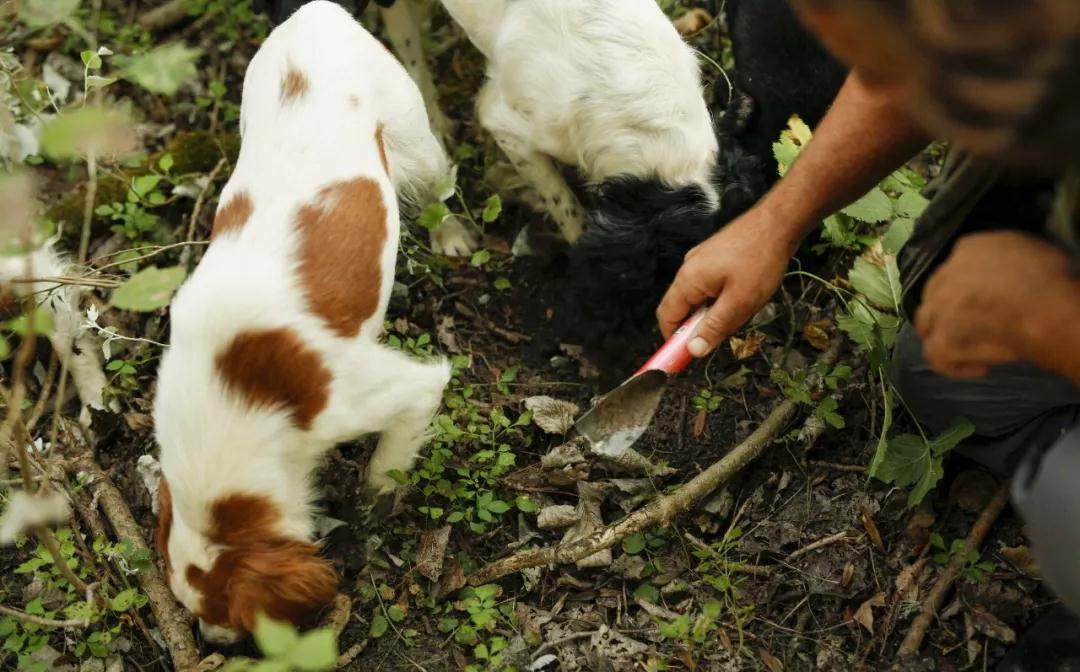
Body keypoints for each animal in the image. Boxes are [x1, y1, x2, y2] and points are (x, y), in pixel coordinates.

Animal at [152, 0, 455, 643]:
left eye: (234, 619)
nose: (211, 642)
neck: (235, 397)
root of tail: (314, 12)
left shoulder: (383, 393)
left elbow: (390, 461)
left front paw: (374, 500)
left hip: (414, 137)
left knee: (439, 185)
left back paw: (454, 236)